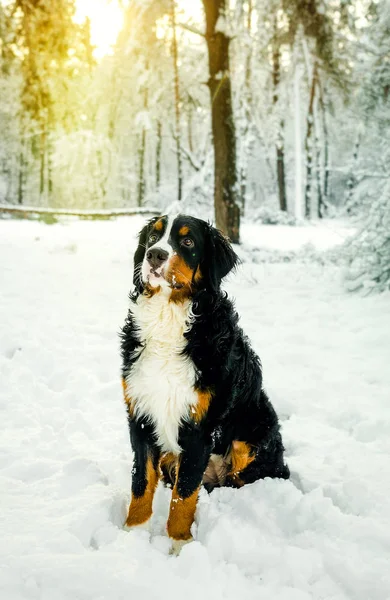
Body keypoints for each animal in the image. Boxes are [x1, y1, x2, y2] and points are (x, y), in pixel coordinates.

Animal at [120, 213, 288, 552]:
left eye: (187, 241)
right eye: (153, 237)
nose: (154, 255)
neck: (168, 316)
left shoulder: (199, 426)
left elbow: (183, 495)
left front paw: (179, 546)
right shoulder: (140, 413)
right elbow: (141, 483)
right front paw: (132, 534)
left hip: (252, 433)